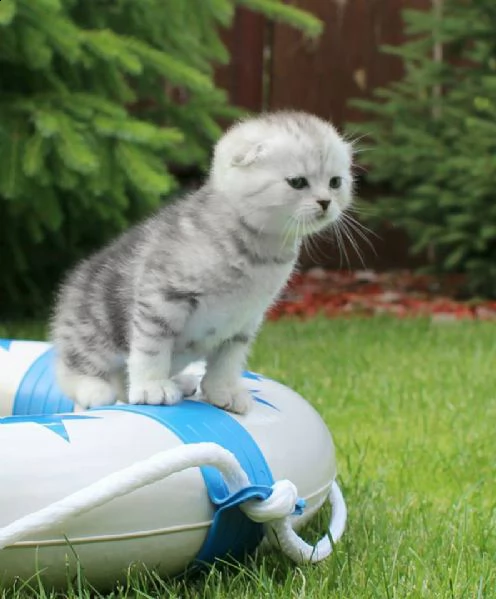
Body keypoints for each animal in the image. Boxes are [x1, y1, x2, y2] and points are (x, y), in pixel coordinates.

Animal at [49, 111, 352, 412]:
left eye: (335, 182)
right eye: (297, 182)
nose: (325, 202)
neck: (259, 251)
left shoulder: (244, 320)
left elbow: (227, 361)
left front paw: (223, 391)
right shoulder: (161, 297)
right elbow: (151, 348)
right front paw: (152, 387)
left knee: (122, 383)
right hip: (95, 329)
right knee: (73, 369)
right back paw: (95, 389)